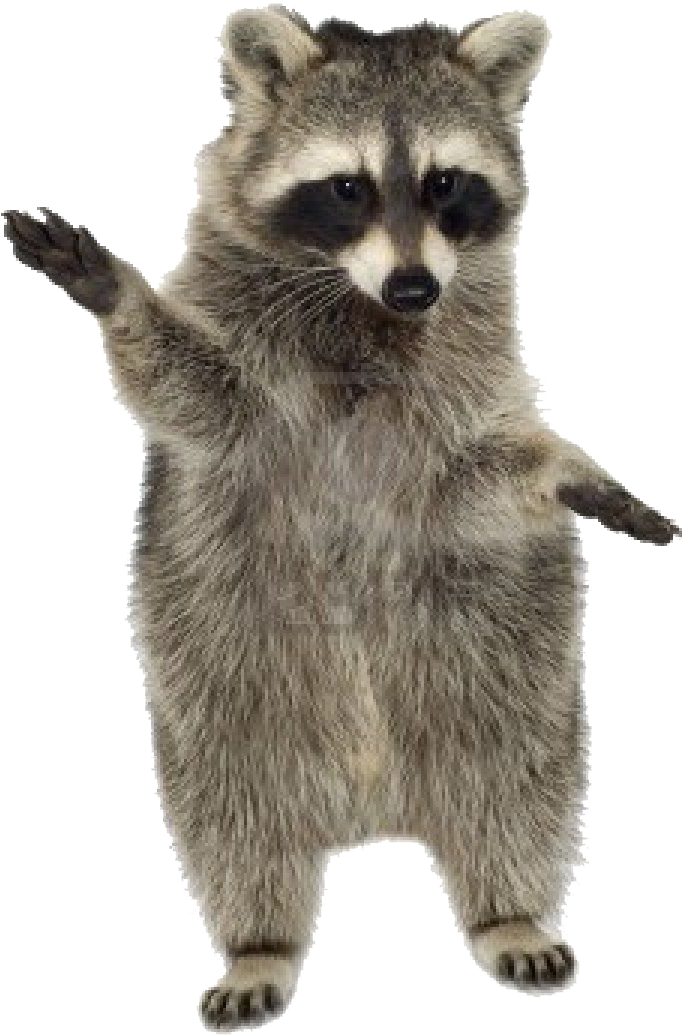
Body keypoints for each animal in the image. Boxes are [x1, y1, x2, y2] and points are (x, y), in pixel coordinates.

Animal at [5, 6, 679, 1027]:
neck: (361, 305)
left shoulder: (453, 396)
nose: (414, 288)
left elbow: (481, 473)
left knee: (516, 778)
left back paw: (509, 911)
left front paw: (573, 470)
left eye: (445, 184)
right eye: (347, 188)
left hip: (505, 658)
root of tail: (378, 804)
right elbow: (188, 390)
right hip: (226, 674)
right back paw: (260, 941)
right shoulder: (248, 384)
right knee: (236, 813)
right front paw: (118, 293)